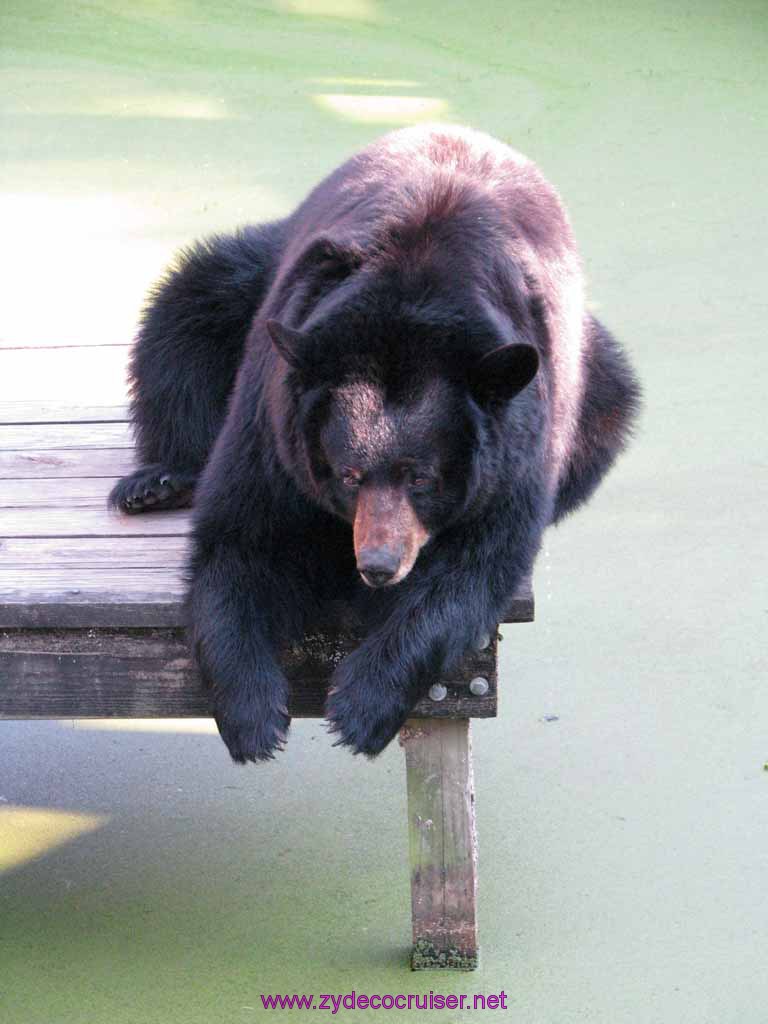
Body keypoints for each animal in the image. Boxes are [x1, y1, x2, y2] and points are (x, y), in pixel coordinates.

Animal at [109, 123, 643, 761]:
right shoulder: (273, 415)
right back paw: (157, 481)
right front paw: (254, 717)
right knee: (187, 312)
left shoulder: (518, 443)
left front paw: (360, 707)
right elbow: (239, 537)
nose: (379, 565)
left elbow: (476, 562)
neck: (411, 300)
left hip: (588, 375)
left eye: (423, 477)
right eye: (348, 475)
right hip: (249, 280)